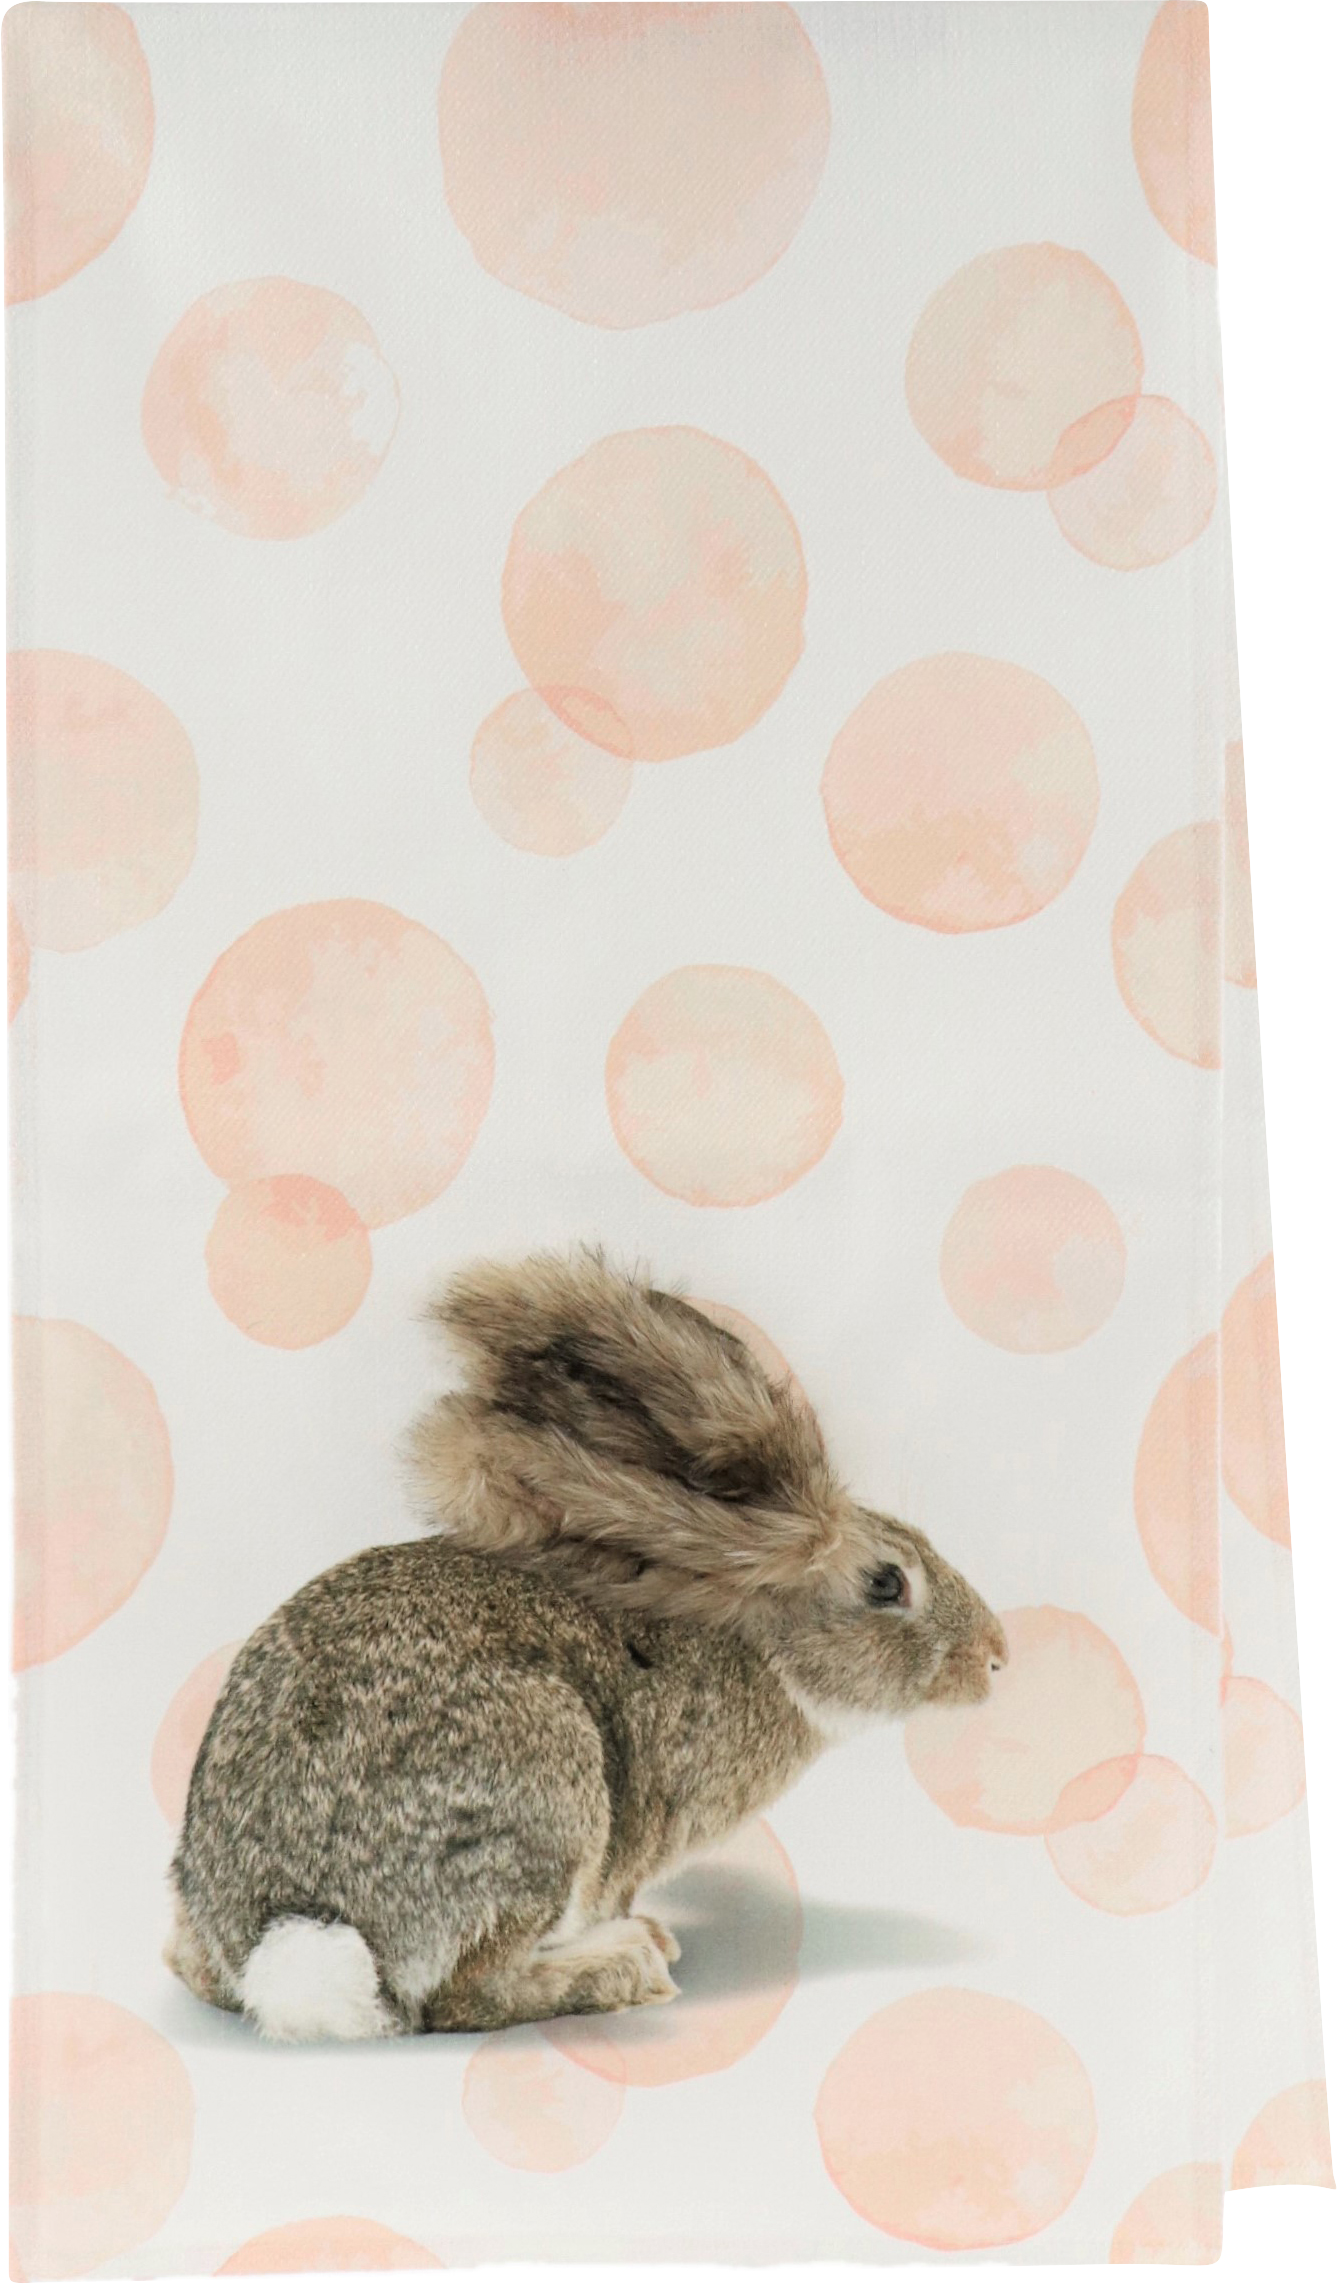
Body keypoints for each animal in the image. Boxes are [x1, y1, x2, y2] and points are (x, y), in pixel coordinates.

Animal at [166, 1249, 1007, 2041]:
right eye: (885, 1584)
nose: (995, 1657)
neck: (756, 1646)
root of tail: (287, 1937)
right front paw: (643, 1939)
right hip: (545, 1796)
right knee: (463, 1996)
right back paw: (623, 1966)